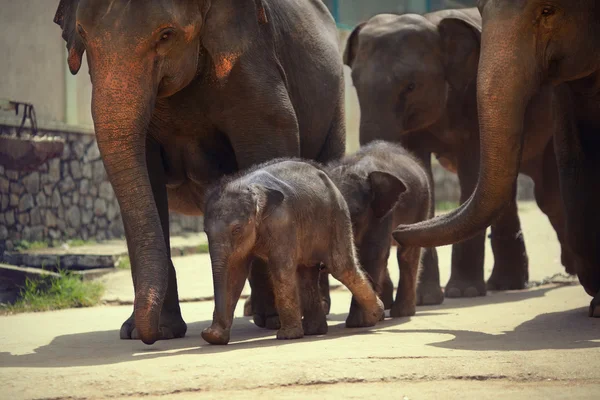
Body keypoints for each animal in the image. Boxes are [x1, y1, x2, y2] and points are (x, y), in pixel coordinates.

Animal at [56, 0, 346, 344]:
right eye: (83, 33)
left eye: (166, 34)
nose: (147, 337)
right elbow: (144, 174)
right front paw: (154, 331)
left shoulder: (254, 64)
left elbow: (267, 148)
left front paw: (276, 319)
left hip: (335, 103)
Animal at [202, 159, 384, 344]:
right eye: (205, 231)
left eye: (237, 229)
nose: (206, 332)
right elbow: (234, 273)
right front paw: (213, 337)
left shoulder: (282, 224)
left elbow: (280, 269)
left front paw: (287, 336)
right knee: (307, 273)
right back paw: (314, 331)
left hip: (336, 216)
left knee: (341, 267)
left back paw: (375, 315)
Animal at [328, 140, 432, 322]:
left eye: (356, 214)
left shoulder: (382, 212)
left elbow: (373, 252)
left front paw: (360, 323)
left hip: (422, 202)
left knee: (407, 253)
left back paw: (401, 313)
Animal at [342, 7, 572, 298]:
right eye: (355, 84)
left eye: (411, 86)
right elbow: (423, 174)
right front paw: (427, 298)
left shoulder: (475, 97)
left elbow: (471, 175)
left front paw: (463, 292)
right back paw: (506, 284)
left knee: (548, 194)